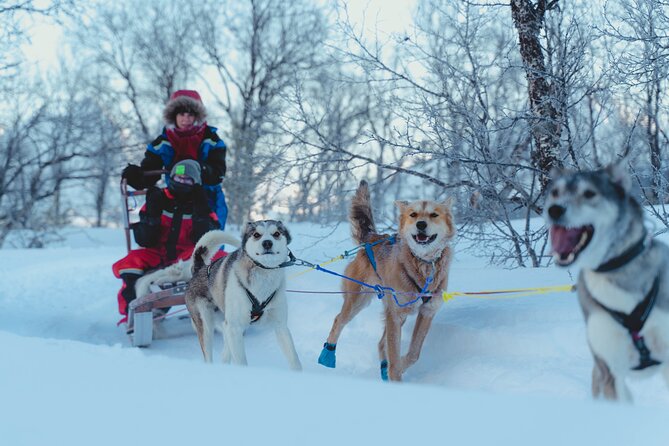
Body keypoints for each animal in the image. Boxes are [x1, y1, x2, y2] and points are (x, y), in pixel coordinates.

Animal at [318, 179, 454, 382]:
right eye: (413, 214)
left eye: (434, 214)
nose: (421, 224)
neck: (423, 263)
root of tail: (373, 237)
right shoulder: (395, 315)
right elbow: (395, 357)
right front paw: (396, 375)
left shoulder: (427, 311)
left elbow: (413, 354)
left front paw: (398, 369)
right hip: (358, 300)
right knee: (338, 320)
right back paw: (327, 355)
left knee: (381, 343)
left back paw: (384, 368)